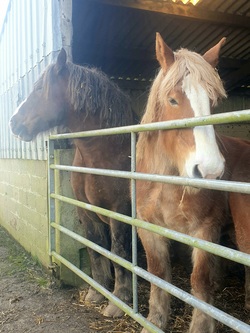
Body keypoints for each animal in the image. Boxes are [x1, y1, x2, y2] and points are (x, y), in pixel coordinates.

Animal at [137, 33, 250, 332]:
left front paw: (202, 325)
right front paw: (155, 320)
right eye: (172, 100)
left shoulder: (205, 230)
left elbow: (199, 282)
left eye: (213, 103)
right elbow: (158, 274)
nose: (210, 171)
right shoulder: (148, 228)